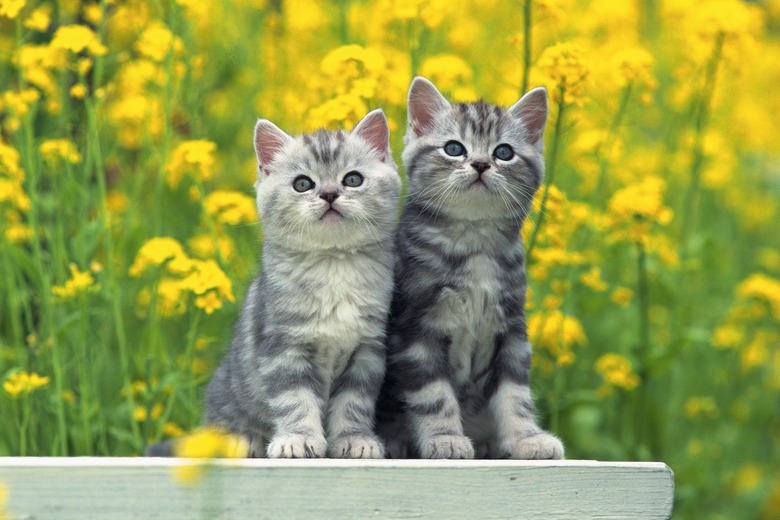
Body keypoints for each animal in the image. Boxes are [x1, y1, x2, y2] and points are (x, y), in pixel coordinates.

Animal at [204, 107, 400, 458]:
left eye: (352, 179)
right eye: (302, 184)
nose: (329, 194)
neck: (333, 265)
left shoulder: (367, 349)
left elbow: (354, 403)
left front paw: (355, 439)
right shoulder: (282, 346)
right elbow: (295, 400)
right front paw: (297, 439)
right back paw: (243, 440)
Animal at [376, 76, 564, 460]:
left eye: (503, 152)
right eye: (454, 148)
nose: (479, 163)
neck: (475, 245)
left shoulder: (511, 331)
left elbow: (515, 395)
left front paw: (527, 438)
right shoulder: (416, 331)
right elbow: (434, 396)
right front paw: (444, 437)